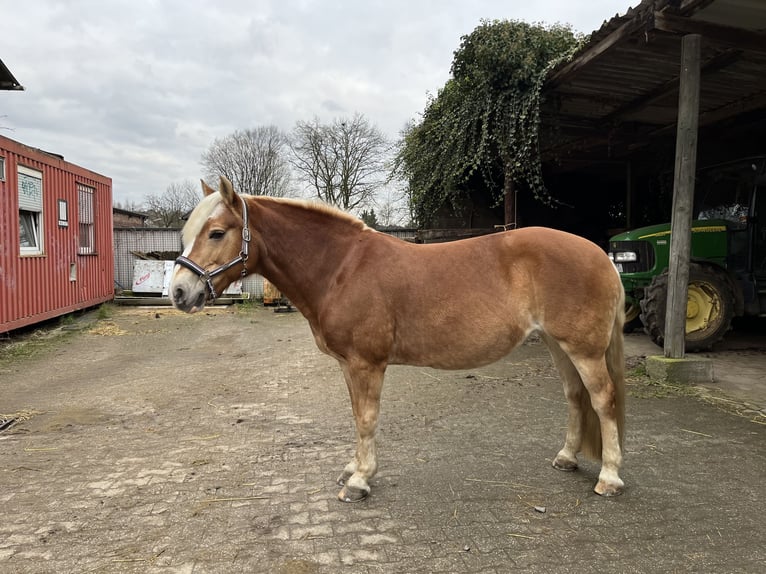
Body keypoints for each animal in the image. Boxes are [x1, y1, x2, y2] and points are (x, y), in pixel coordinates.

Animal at [171, 178, 628, 502]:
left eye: (216, 233)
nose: (178, 292)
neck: (342, 267)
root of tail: (602, 256)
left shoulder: (366, 363)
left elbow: (367, 419)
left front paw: (359, 481)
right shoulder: (349, 365)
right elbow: (356, 416)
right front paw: (353, 467)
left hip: (583, 350)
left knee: (602, 400)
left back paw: (609, 477)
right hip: (557, 345)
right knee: (575, 397)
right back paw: (567, 458)